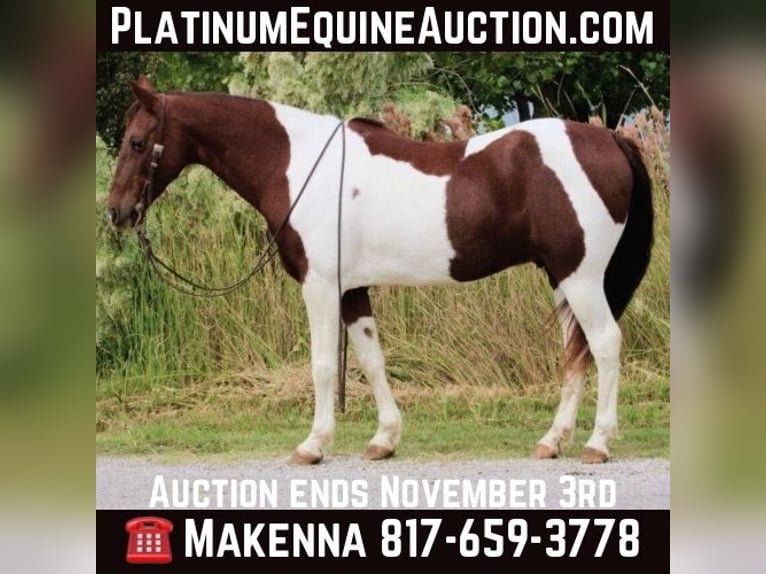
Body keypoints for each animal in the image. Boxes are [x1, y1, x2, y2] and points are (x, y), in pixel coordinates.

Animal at [107, 75, 653, 465]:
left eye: (137, 143)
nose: (117, 212)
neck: (298, 164)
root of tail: (610, 140)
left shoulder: (320, 286)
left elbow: (323, 365)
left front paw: (313, 444)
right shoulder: (352, 289)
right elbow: (371, 360)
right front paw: (384, 439)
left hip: (582, 277)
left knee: (605, 344)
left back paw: (598, 443)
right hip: (562, 278)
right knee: (576, 352)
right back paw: (552, 440)